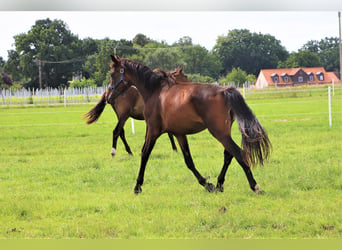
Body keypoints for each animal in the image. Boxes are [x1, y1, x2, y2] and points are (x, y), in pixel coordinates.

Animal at [108, 55, 272, 195]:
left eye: (111, 74)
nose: (109, 97)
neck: (155, 91)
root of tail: (225, 90)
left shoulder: (153, 130)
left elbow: (145, 153)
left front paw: (137, 186)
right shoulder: (179, 133)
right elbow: (189, 161)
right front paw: (207, 184)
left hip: (218, 132)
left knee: (238, 153)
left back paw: (254, 186)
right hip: (224, 132)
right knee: (228, 154)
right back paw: (219, 184)